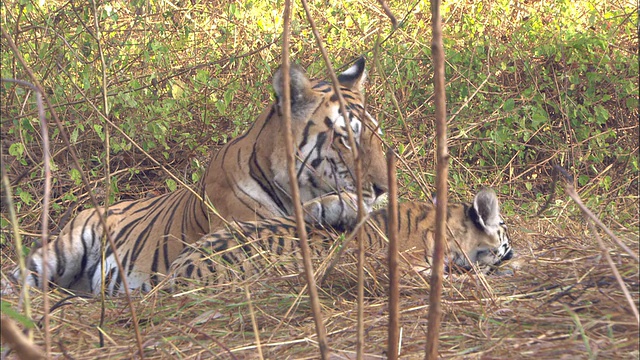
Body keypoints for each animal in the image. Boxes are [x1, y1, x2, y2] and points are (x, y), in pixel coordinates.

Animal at [12, 57, 388, 296]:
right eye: (345, 138)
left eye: (376, 134)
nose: (384, 189)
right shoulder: (248, 226)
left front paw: (344, 207)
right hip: (59, 251)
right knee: (17, 278)